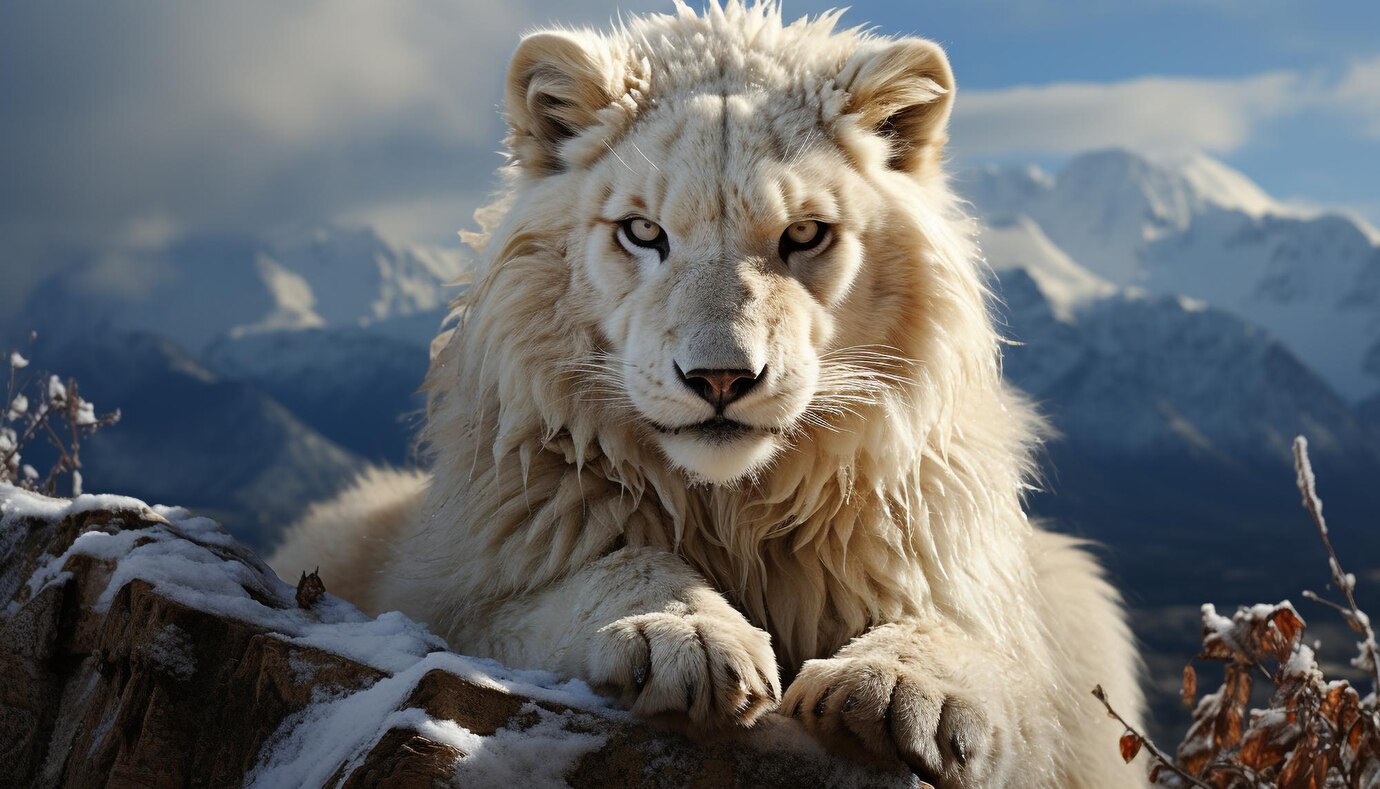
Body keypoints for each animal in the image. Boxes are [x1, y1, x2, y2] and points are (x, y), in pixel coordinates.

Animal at [269, 3, 1145, 786]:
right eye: (642, 232)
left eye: (805, 234)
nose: (721, 378)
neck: (736, 509)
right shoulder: (461, 594)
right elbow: (612, 565)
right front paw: (684, 637)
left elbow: (980, 651)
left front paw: (898, 685)